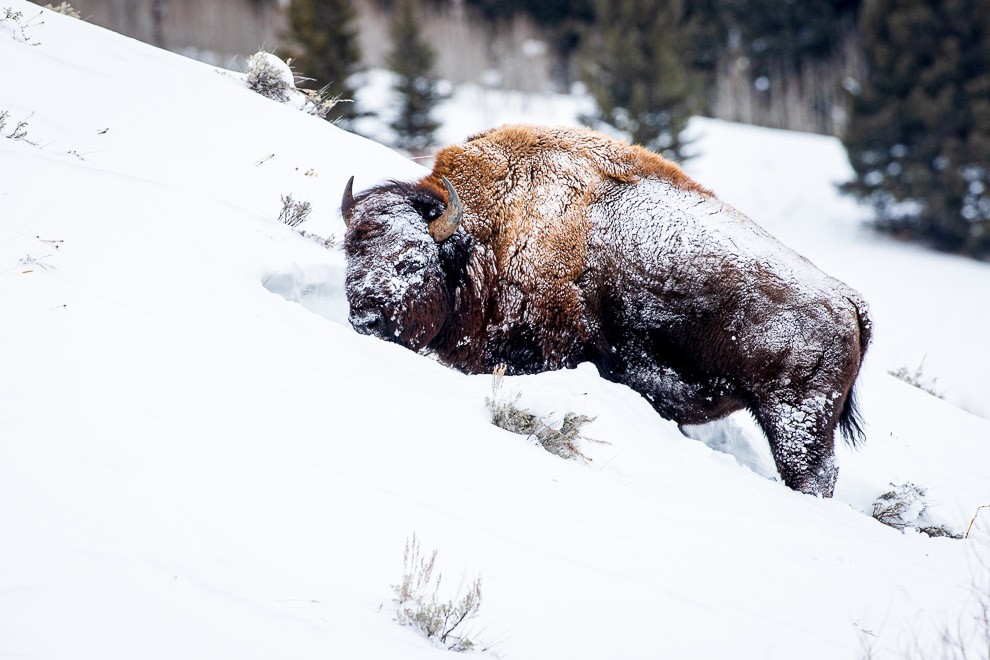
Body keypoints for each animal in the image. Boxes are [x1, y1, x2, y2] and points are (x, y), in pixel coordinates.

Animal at [344, 125, 872, 496]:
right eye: (350, 250)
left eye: (413, 261)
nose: (363, 319)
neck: (488, 236)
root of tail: (849, 301)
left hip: (795, 423)